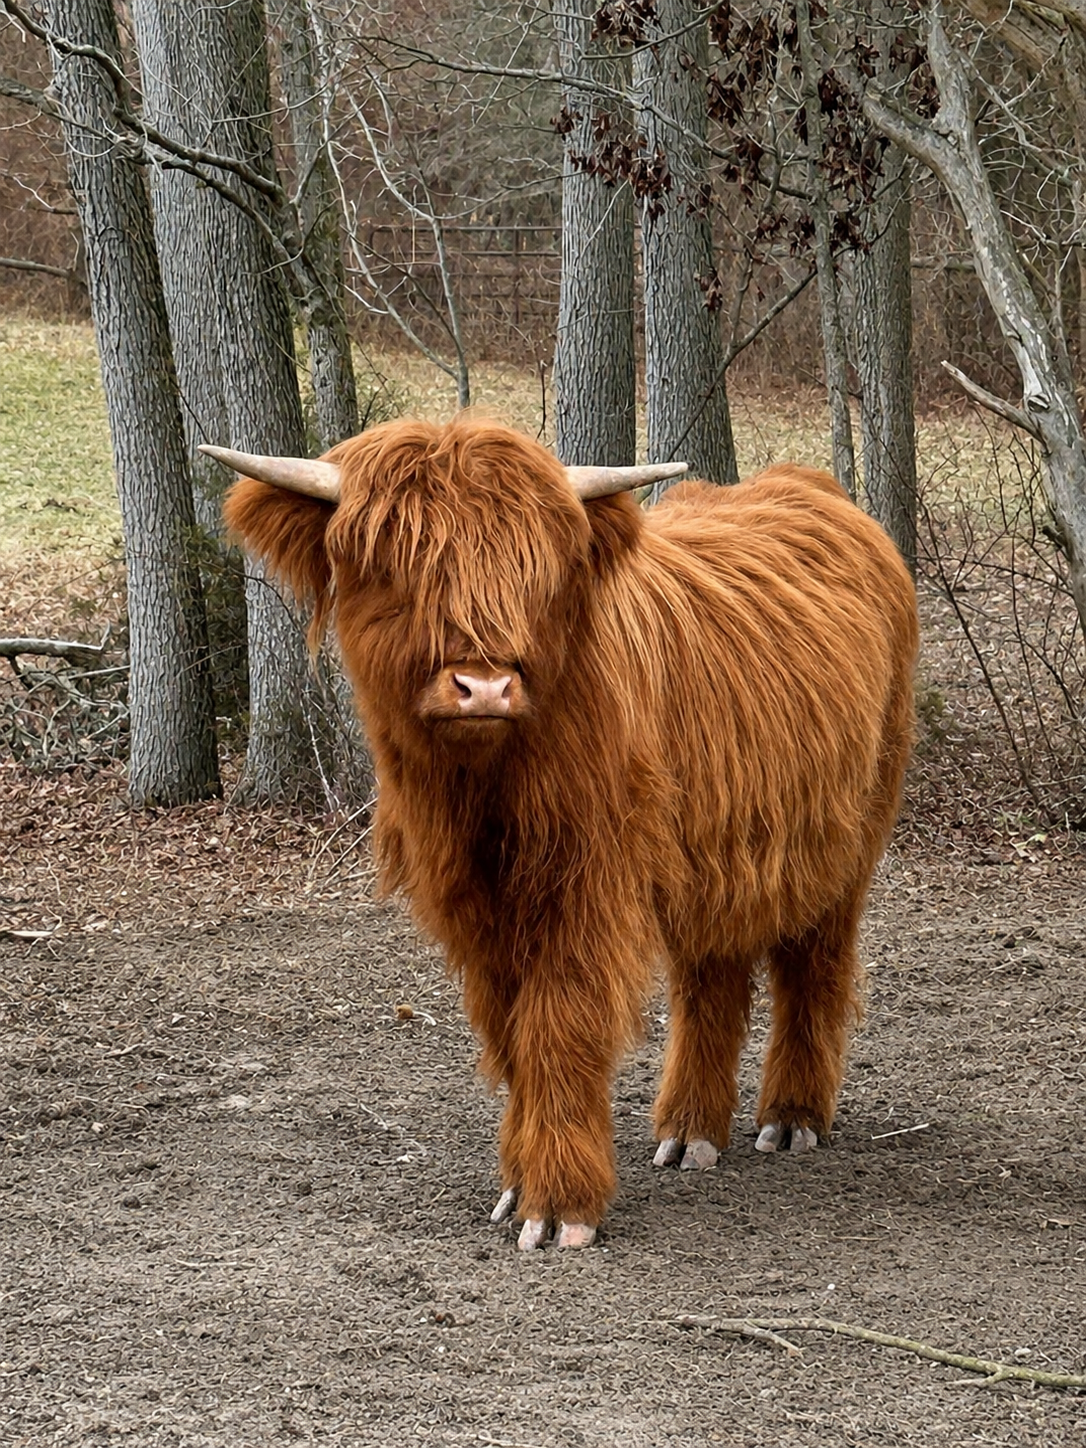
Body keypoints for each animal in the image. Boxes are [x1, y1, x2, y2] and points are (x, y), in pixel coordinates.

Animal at [211, 415, 918, 1251]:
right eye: (391, 563)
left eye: (534, 570)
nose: (485, 685)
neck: (485, 792)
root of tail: (812, 489)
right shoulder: (477, 908)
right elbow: (513, 1035)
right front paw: (518, 1187)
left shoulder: (584, 887)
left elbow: (559, 1026)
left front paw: (558, 1206)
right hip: (718, 846)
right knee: (711, 977)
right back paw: (689, 1132)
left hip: (846, 837)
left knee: (816, 962)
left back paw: (793, 1117)